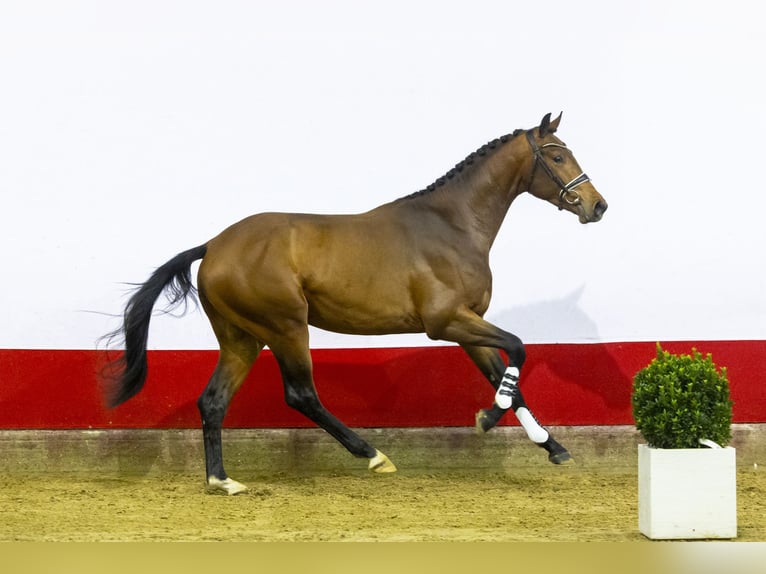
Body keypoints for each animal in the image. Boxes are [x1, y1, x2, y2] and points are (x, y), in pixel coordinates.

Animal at [106, 112, 612, 496]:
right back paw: (373, 455)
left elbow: (506, 372)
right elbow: (519, 348)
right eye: (557, 155)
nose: (597, 206)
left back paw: (222, 481)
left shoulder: (469, 325)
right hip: (286, 328)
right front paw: (487, 418)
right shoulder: (446, 322)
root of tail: (213, 246)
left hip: (242, 340)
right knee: (301, 394)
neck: (453, 225)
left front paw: (552, 445)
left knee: (212, 401)